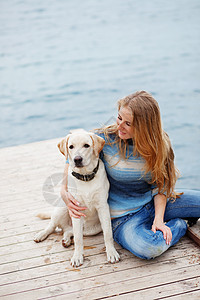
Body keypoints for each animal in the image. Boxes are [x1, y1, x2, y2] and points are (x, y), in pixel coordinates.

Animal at [34, 129, 120, 268]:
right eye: (71, 147)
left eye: (86, 145)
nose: (77, 159)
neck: (85, 177)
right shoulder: (75, 207)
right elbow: (79, 239)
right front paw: (77, 257)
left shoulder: (103, 207)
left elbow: (108, 234)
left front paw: (111, 253)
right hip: (63, 207)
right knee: (53, 225)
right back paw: (42, 234)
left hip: (92, 229)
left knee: (68, 231)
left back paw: (66, 240)